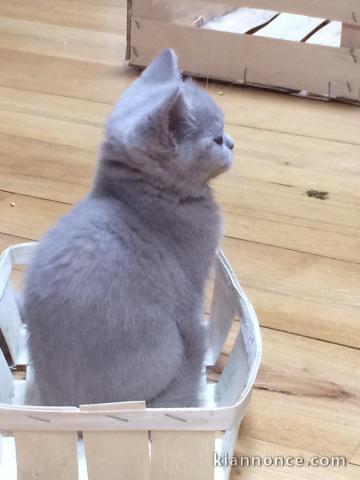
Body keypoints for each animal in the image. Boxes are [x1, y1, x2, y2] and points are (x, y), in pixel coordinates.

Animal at [23, 48, 235, 406]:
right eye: (217, 138)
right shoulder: (190, 287)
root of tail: (70, 405)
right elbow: (193, 326)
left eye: (224, 133)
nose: (233, 144)